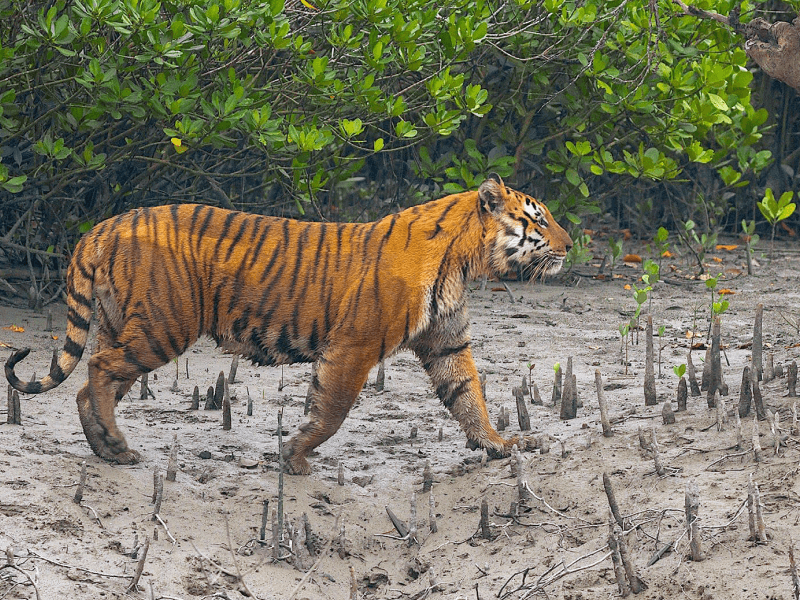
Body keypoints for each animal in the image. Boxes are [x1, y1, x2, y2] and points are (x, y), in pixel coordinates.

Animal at [5, 174, 572, 474]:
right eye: (538, 218)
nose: (570, 246)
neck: (463, 262)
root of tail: (102, 226)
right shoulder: (354, 346)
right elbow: (333, 410)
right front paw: (295, 456)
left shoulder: (446, 343)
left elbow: (468, 397)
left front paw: (500, 445)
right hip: (162, 327)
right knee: (99, 370)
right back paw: (117, 448)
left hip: (120, 324)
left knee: (89, 384)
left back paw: (106, 449)